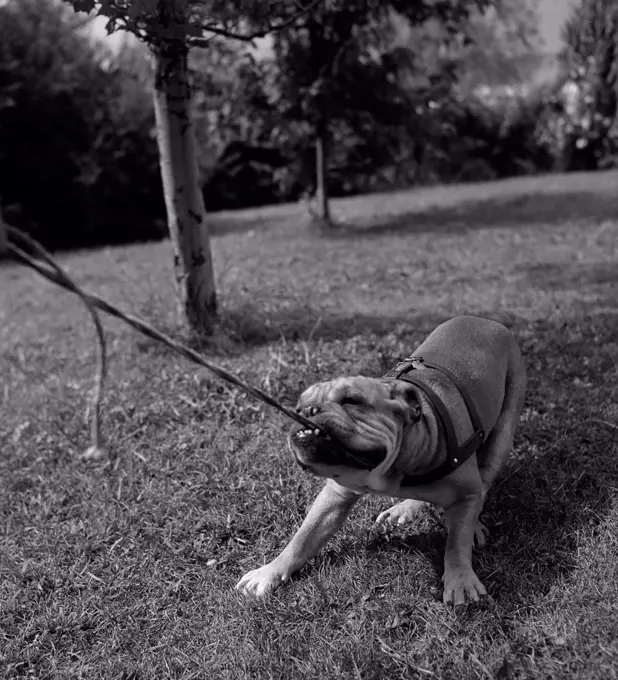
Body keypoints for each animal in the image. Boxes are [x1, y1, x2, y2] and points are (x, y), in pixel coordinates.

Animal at [236, 314, 524, 604]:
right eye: (296, 407)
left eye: (351, 401)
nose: (307, 410)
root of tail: (485, 320)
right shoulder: (334, 496)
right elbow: (304, 536)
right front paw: (270, 571)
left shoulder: (466, 492)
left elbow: (456, 542)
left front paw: (461, 578)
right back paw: (404, 508)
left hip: (503, 434)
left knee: (483, 482)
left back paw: (472, 524)